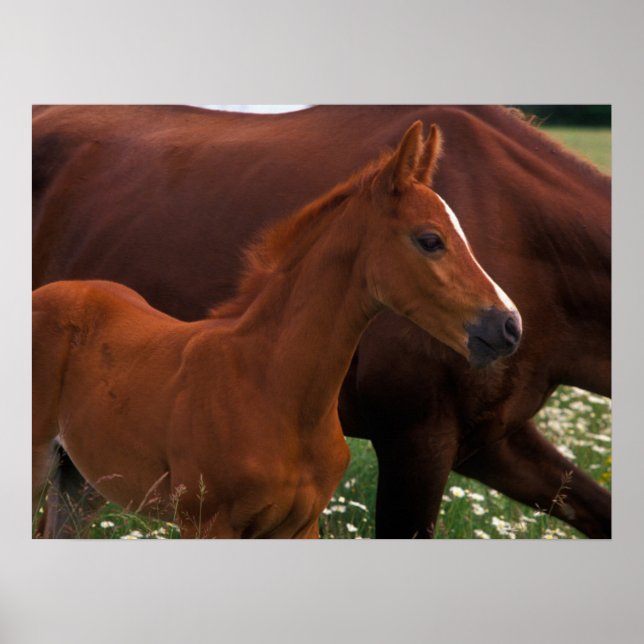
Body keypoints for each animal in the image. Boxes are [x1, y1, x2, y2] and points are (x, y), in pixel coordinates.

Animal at [32, 104, 610, 538]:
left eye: (467, 233)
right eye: (430, 239)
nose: (508, 326)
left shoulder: (489, 440)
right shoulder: (416, 439)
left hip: (82, 474)